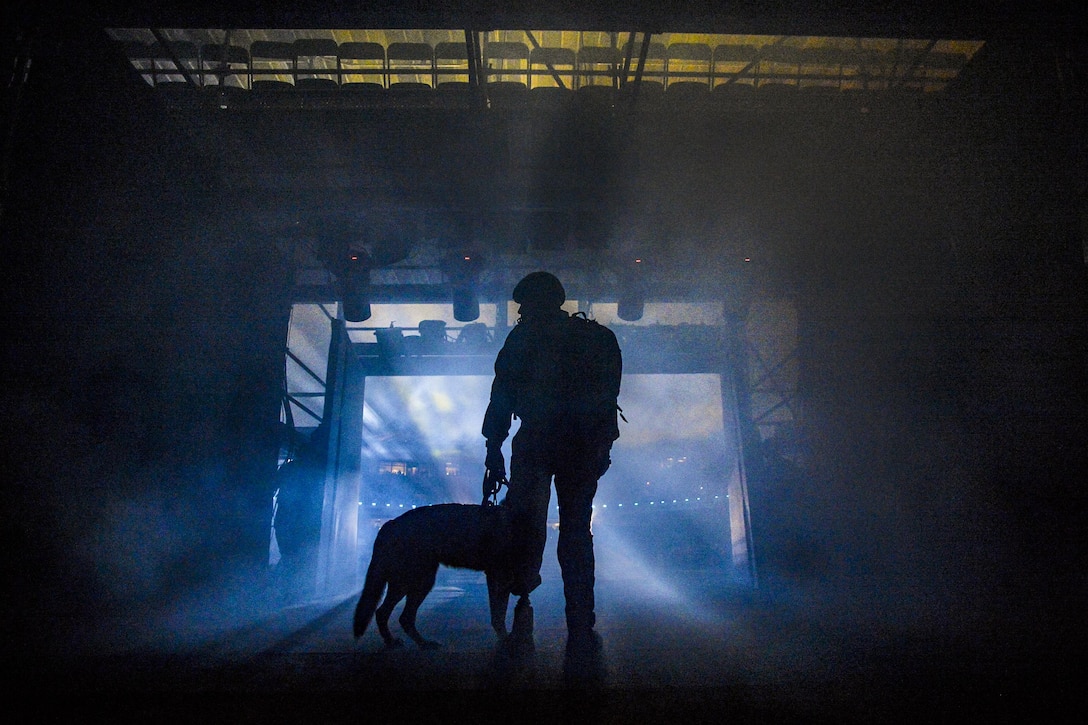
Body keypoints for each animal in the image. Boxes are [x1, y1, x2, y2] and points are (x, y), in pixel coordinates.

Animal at [352, 500, 513, 644]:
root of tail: (390, 524)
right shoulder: (498, 577)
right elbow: (499, 615)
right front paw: (506, 640)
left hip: (414, 583)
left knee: (394, 615)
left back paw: (412, 642)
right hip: (414, 583)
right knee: (392, 614)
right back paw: (408, 642)